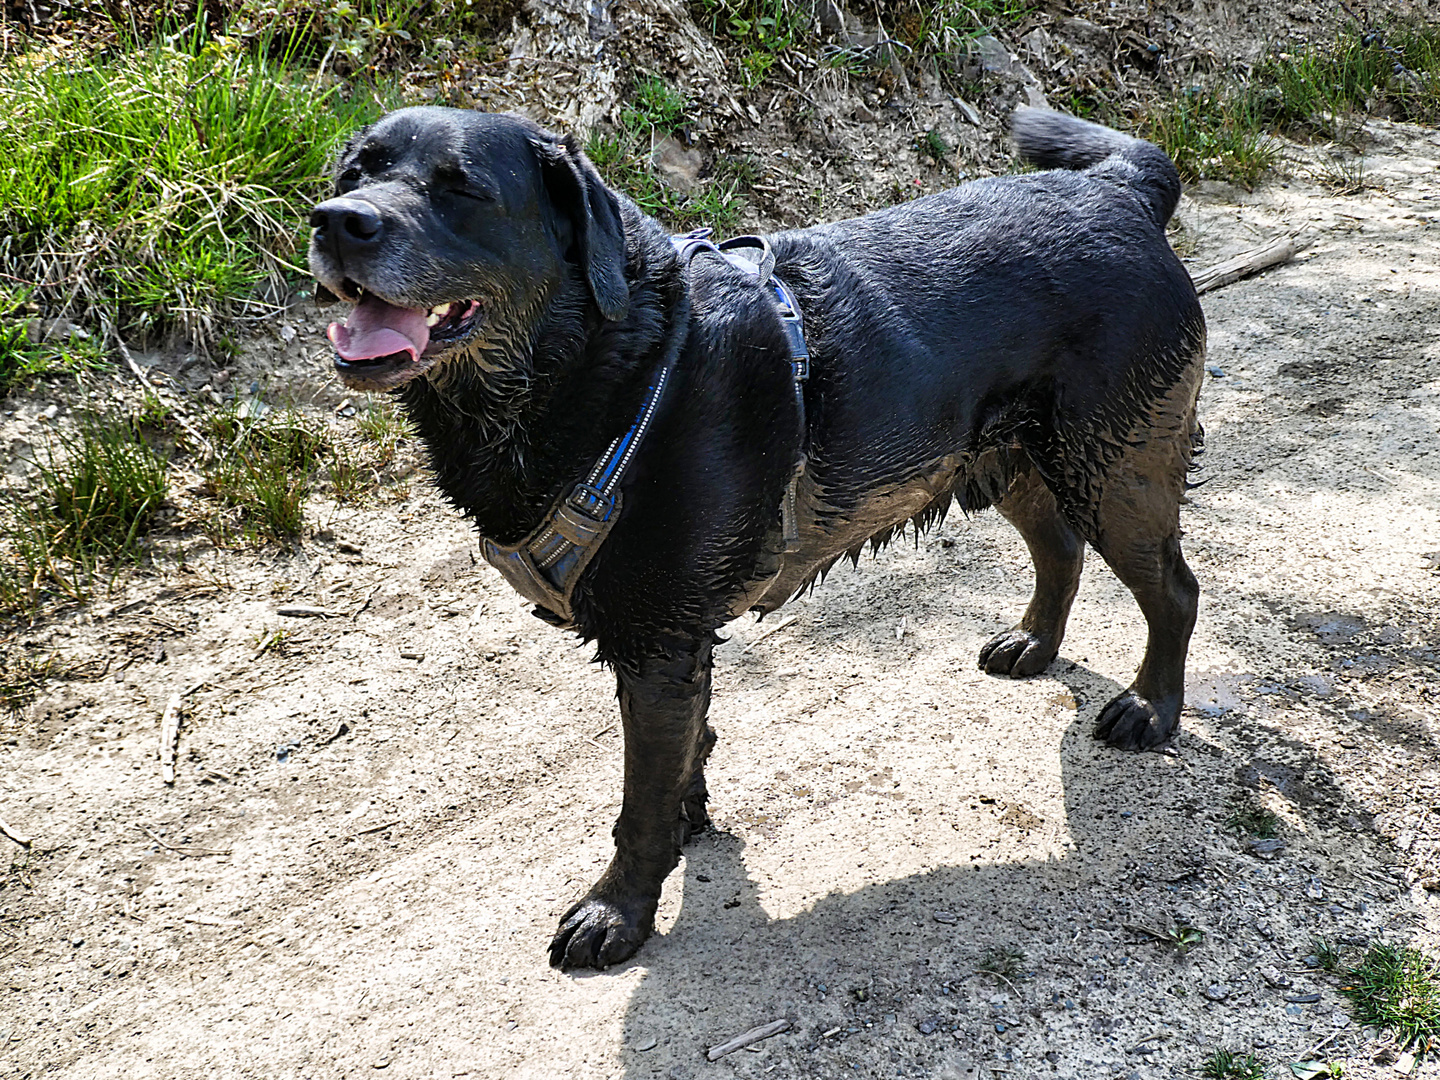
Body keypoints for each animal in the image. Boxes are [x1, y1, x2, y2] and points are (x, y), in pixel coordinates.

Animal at [309, 108, 1209, 973]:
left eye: (462, 187)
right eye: (352, 173)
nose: (334, 221)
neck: (614, 358)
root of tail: (1118, 192)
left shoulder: (657, 642)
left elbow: (639, 800)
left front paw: (618, 910)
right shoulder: (674, 642)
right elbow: (686, 750)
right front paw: (685, 819)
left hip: (1116, 470)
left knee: (1174, 589)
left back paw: (1151, 709)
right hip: (1010, 461)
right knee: (1059, 548)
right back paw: (1035, 643)